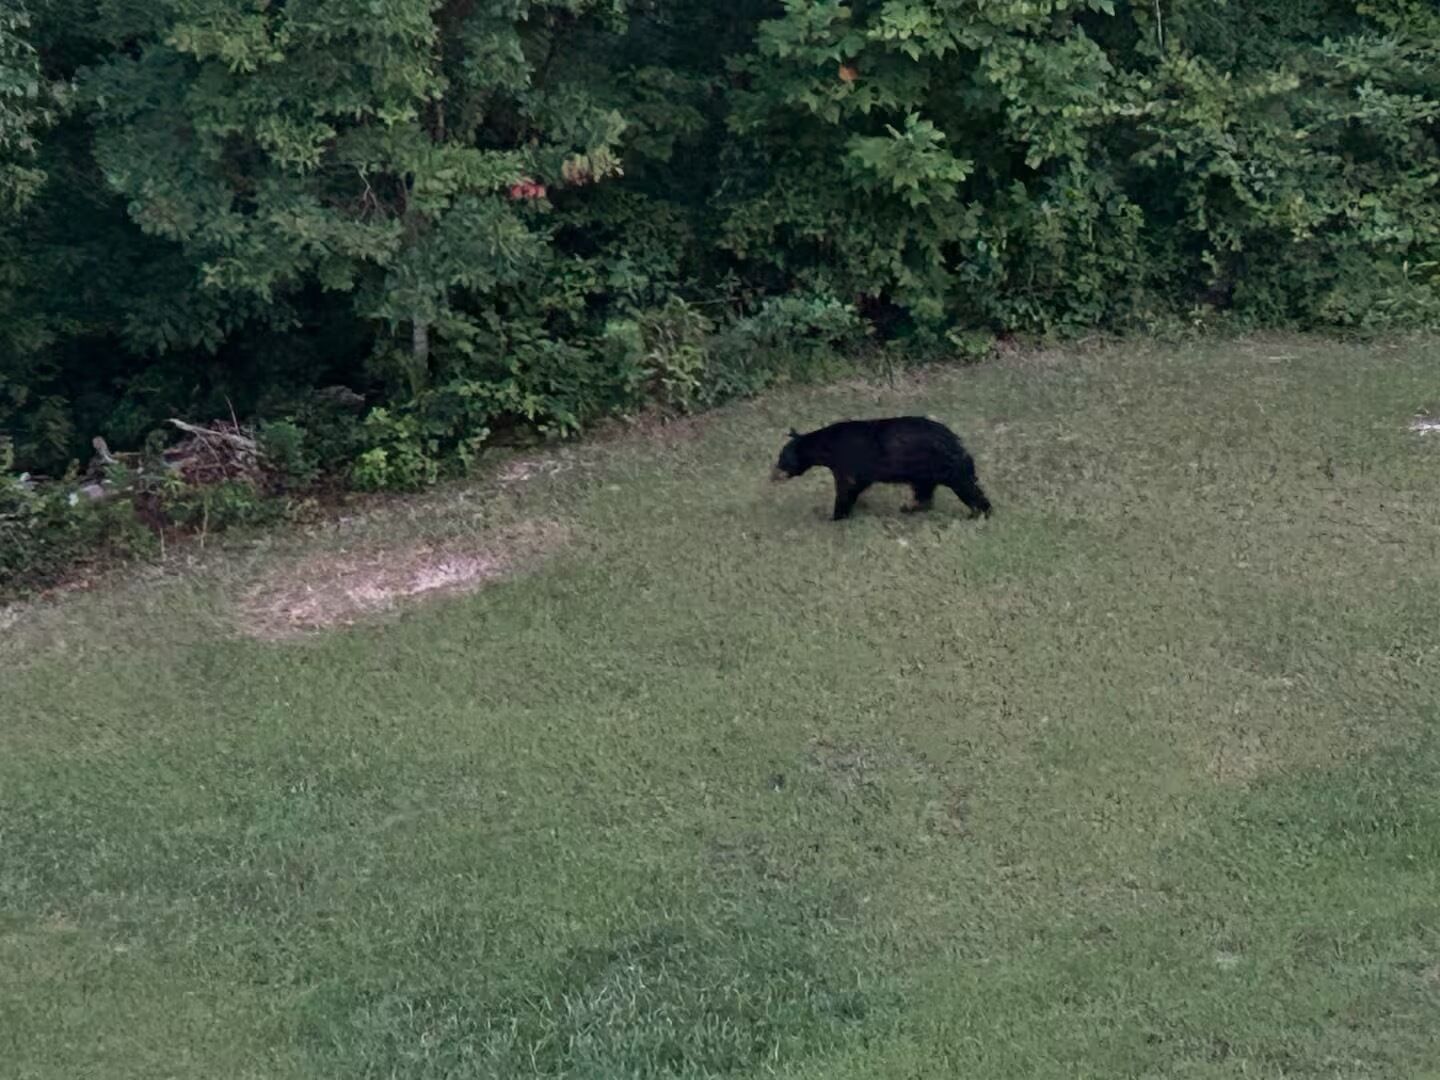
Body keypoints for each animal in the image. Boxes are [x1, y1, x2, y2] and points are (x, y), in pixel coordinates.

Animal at [771, 416, 992, 521]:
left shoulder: (847, 461)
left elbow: (846, 487)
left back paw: (980, 512)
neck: (827, 447)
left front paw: (834, 516)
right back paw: (909, 507)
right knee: (924, 491)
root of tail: (957, 441)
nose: (772, 476)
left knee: (966, 487)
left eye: (781, 459)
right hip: (925, 471)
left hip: (943, 466)